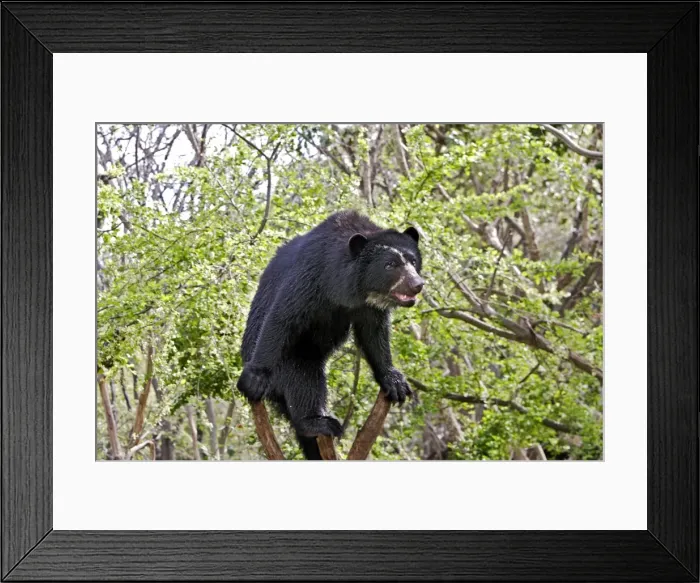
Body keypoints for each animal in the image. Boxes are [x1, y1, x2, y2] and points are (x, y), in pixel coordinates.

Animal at [237, 209, 425, 459]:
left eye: (413, 261)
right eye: (390, 264)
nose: (417, 284)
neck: (347, 289)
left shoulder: (367, 308)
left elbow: (374, 335)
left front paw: (395, 383)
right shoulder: (311, 276)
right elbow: (282, 316)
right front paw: (254, 378)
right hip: (290, 358)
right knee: (303, 380)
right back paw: (318, 422)